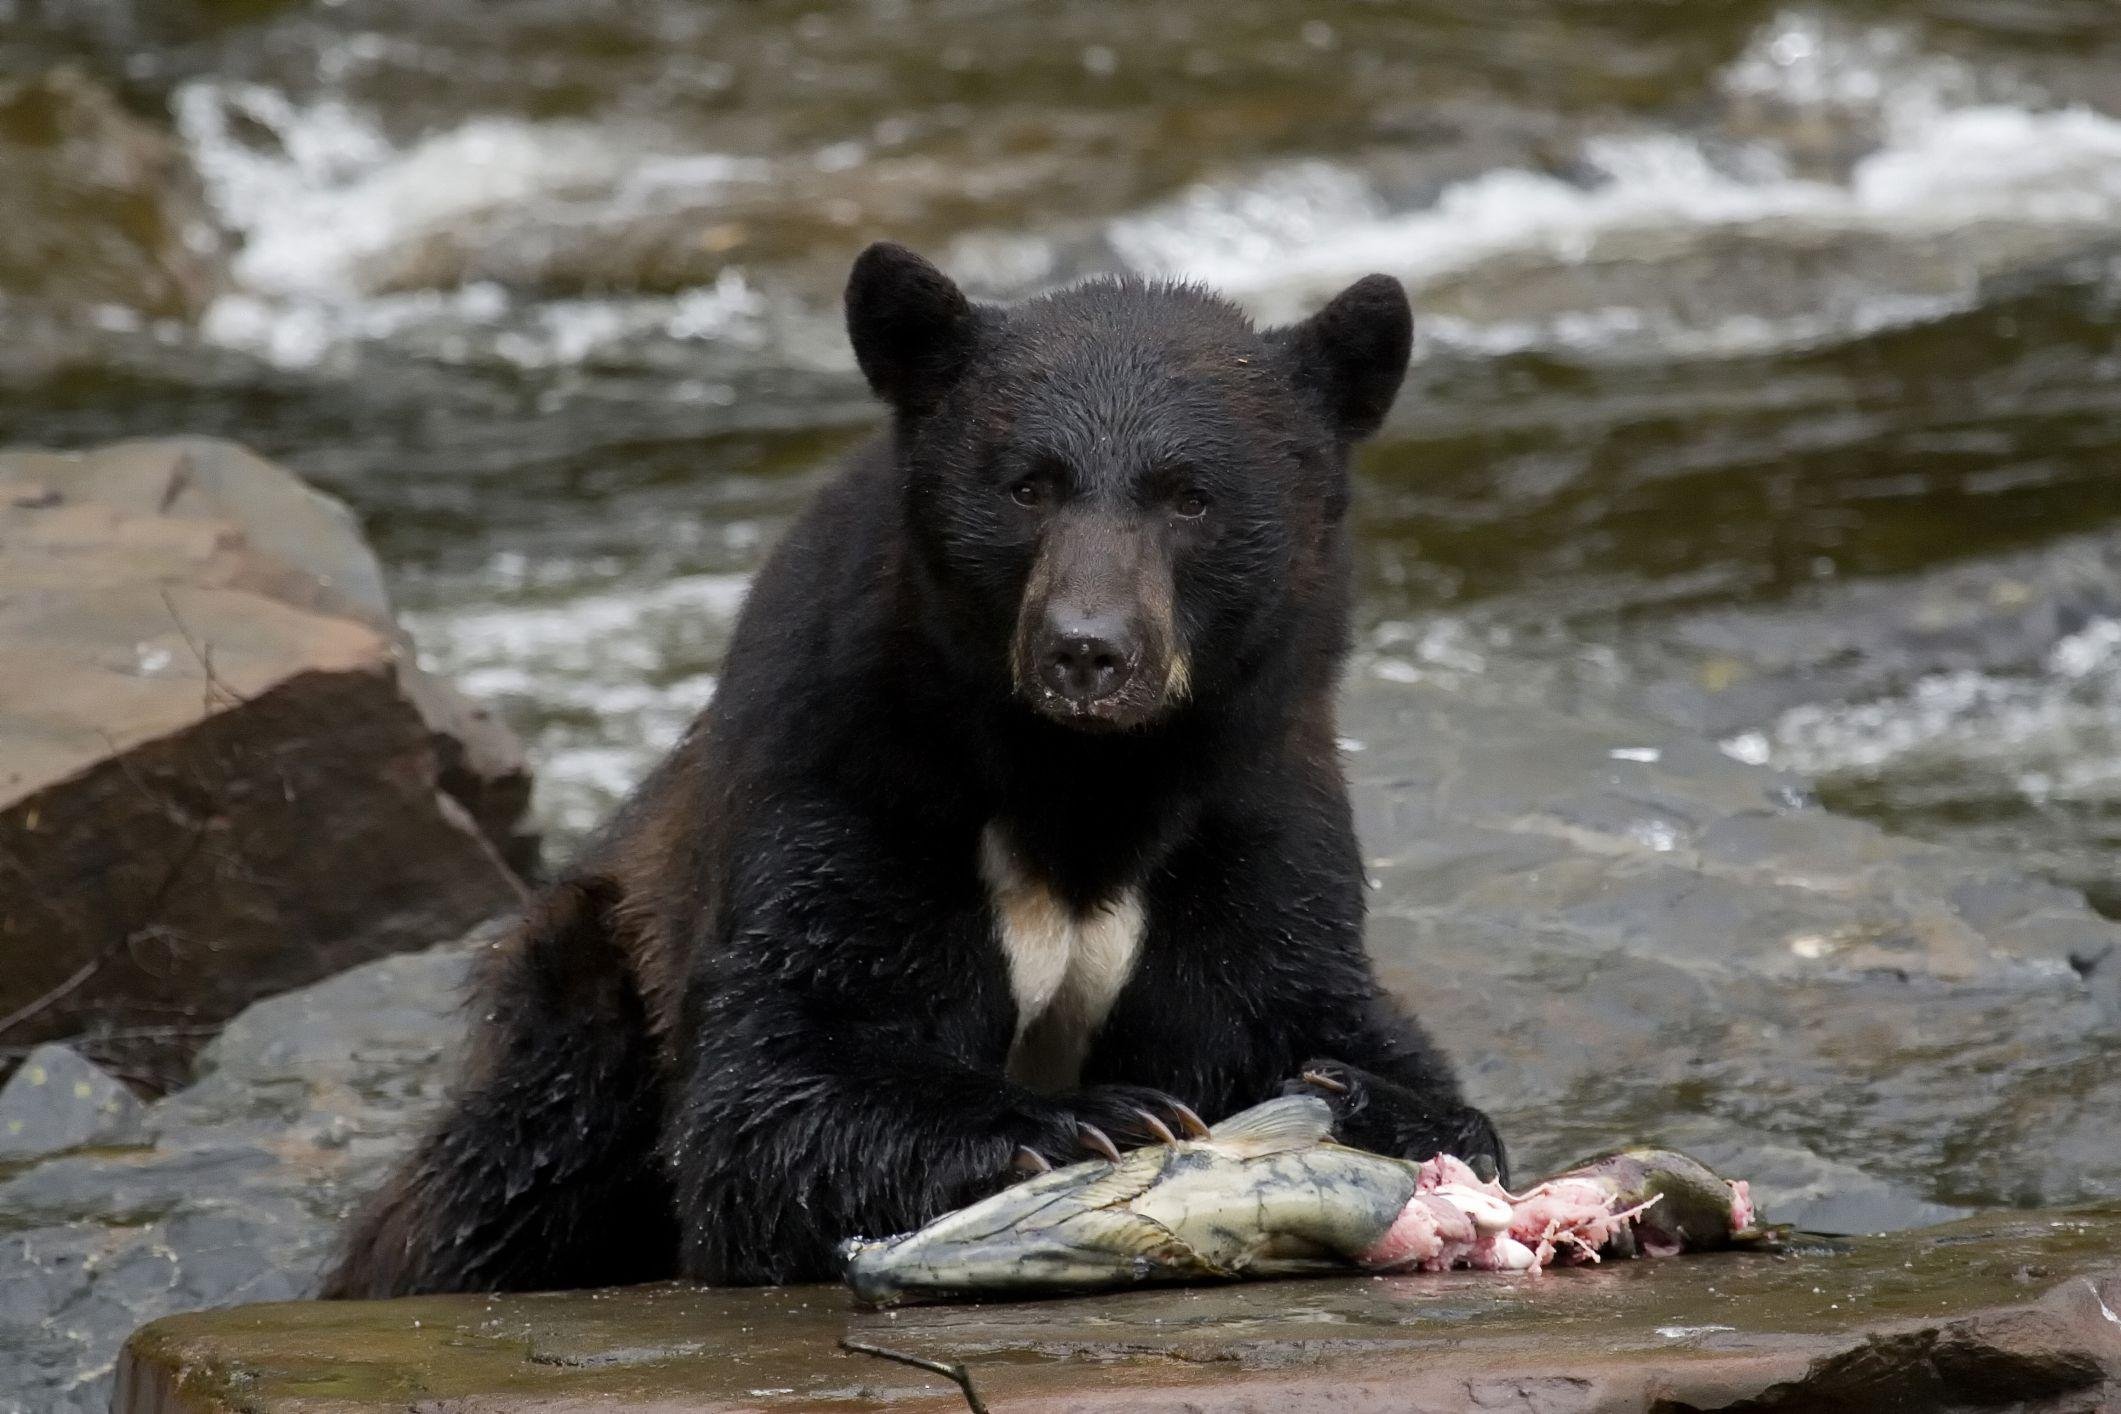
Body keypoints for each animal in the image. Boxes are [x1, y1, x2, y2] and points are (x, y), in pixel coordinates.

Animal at [321, 242, 1506, 1297]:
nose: (1088, 651)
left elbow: (1307, 995)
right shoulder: (853, 773)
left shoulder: (1250, 800)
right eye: (1029, 485)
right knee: (509, 1172)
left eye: (1189, 495)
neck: (1084, 782)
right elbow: (780, 1077)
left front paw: (1368, 1097)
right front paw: (1090, 1119)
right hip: (585, 983)